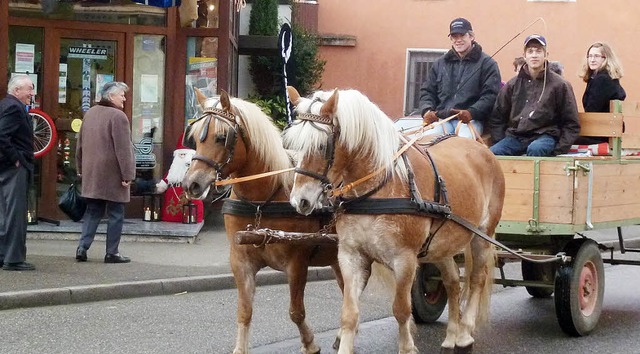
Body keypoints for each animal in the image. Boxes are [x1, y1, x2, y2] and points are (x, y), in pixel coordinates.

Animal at [180, 91, 344, 354]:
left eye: (222, 137)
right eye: (194, 138)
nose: (191, 184)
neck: (261, 200)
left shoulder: (297, 263)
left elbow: (296, 312)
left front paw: (309, 343)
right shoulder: (241, 262)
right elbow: (244, 312)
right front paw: (240, 348)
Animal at [284, 86, 504, 354]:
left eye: (322, 145)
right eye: (290, 144)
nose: (300, 201)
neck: (378, 187)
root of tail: (484, 150)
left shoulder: (405, 260)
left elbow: (401, 310)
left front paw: (407, 347)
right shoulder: (351, 256)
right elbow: (349, 314)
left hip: (482, 235)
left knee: (476, 279)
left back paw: (464, 334)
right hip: (441, 245)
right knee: (452, 282)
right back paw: (451, 335)